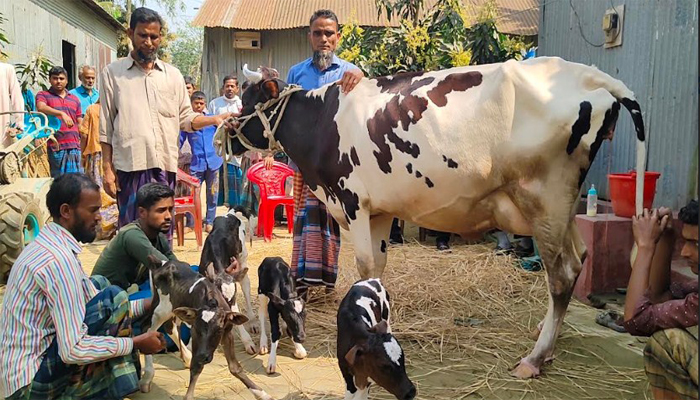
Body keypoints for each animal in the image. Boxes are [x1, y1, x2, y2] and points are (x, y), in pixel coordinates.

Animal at [139, 256, 274, 400]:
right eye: (197, 329)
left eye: (218, 330)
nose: (203, 356)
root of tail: (162, 262)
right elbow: (197, 366)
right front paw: (189, 395)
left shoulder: (227, 332)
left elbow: (234, 367)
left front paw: (262, 394)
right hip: (160, 307)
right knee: (146, 327)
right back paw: (147, 376)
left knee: (169, 326)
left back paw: (186, 357)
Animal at [200, 206, 260, 354]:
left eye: (231, 299)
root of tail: (230, 213)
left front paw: (248, 342)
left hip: (243, 258)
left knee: (246, 285)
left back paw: (253, 321)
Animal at [217, 57, 644, 378]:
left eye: (247, 101)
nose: (226, 136)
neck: (323, 120)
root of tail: (590, 75)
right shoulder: (379, 209)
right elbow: (377, 269)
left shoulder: (353, 201)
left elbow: (365, 266)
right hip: (562, 207)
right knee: (581, 255)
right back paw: (546, 333)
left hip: (546, 198)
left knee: (563, 273)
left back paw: (535, 357)